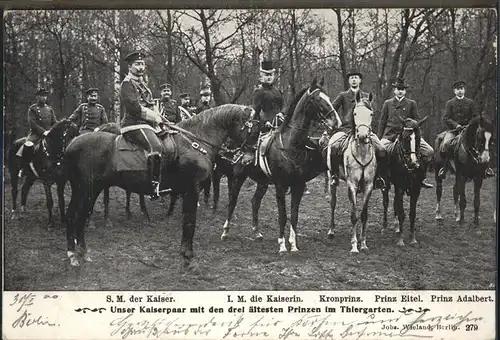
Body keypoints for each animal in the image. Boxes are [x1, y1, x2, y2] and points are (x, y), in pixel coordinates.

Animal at [63, 105, 258, 270]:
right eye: (252, 129)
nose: (249, 158)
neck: (194, 143)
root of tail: (71, 145)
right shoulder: (192, 189)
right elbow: (190, 222)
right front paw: (188, 258)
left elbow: (187, 220)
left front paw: (185, 255)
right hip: (87, 190)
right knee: (76, 217)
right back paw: (75, 254)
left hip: (87, 190)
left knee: (75, 217)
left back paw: (79, 253)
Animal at [220, 77, 334, 252]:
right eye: (318, 100)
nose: (335, 121)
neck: (291, 145)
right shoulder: (281, 186)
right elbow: (283, 215)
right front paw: (282, 245)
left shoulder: (298, 186)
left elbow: (294, 215)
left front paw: (293, 245)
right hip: (239, 177)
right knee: (232, 201)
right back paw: (225, 232)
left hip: (262, 182)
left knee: (255, 202)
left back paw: (257, 233)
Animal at [382, 116, 426, 244]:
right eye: (406, 138)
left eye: (418, 138)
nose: (413, 162)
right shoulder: (400, 187)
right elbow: (402, 213)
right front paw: (401, 240)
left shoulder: (416, 189)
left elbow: (412, 214)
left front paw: (413, 238)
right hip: (386, 185)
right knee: (386, 202)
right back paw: (384, 226)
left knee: (395, 202)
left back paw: (396, 226)